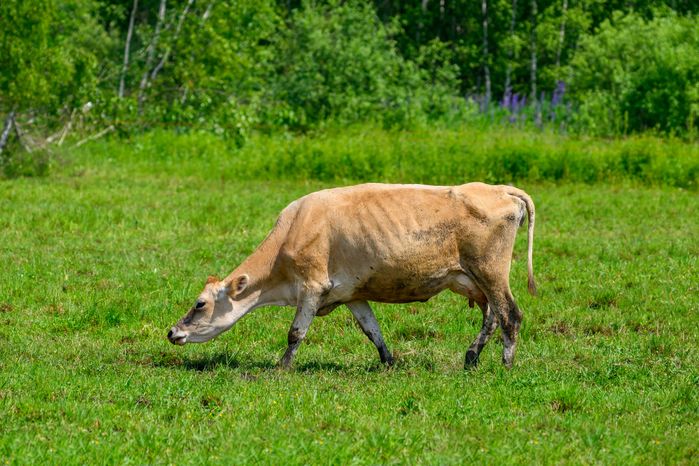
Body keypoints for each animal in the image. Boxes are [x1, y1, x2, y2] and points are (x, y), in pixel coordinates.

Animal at [167, 182, 536, 369]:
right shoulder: (352, 295)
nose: (172, 332)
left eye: (200, 304)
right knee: (491, 316)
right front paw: (387, 362)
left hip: (491, 271)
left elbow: (295, 333)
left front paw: (282, 367)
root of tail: (501, 188)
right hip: (474, 280)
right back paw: (471, 357)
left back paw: (505, 364)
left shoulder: (312, 286)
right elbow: (373, 331)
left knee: (510, 315)